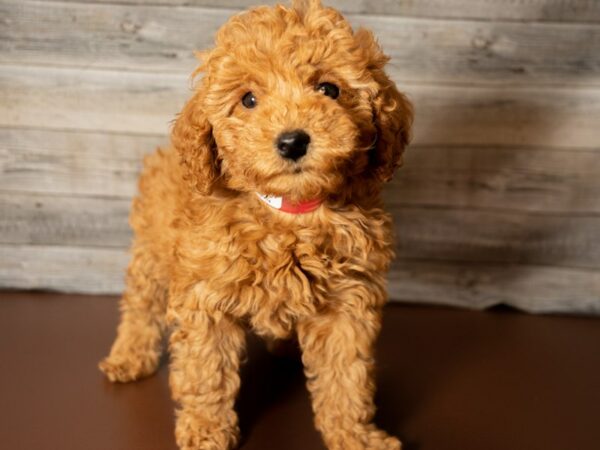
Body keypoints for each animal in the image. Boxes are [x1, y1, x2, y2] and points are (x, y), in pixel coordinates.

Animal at [102, 1, 412, 448]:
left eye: (329, 89)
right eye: (248, 99)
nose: (292, 141)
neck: (289, 213)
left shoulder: (347, 302)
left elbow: (347, 377)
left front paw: (356, 434)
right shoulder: (206, 299)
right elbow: (206, 371)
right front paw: (206, 429)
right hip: (149, 254)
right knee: (140, 306)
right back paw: (128, 357)